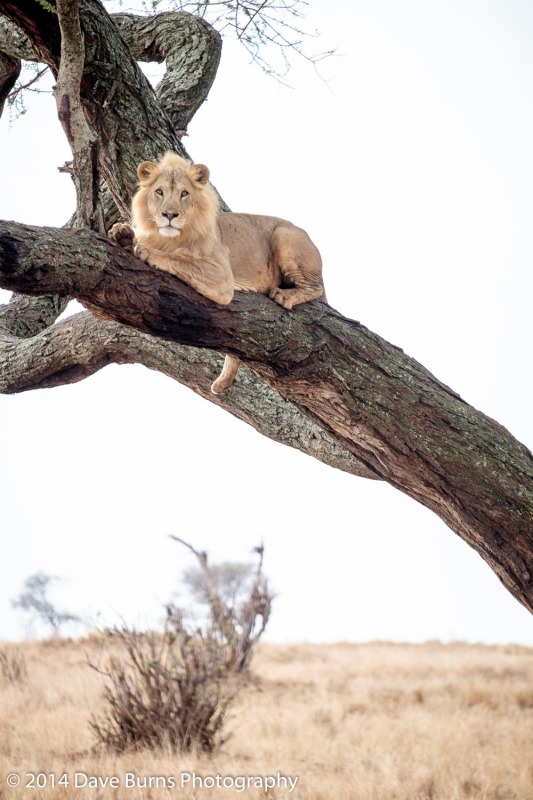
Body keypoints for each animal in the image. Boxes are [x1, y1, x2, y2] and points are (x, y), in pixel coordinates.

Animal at [110, 151, 322, 394]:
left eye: (184, 193)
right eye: (159, 192)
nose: (169, 214)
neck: (168, 237)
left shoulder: (221, 274)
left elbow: (180, 258)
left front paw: (147, 251)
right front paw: (122, 234)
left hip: (284, 234)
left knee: (315, 287)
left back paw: (285, 296)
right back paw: (223, 381)